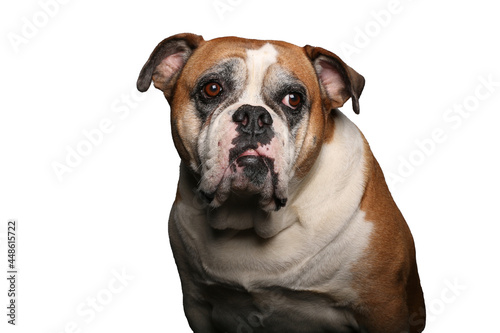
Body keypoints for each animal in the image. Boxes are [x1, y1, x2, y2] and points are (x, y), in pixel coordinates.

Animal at [138, 32, 426, 330]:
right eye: (213, 88)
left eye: (294, 99)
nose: (253, 116)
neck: (250, 222)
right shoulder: (197, 304)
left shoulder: (383, 308)